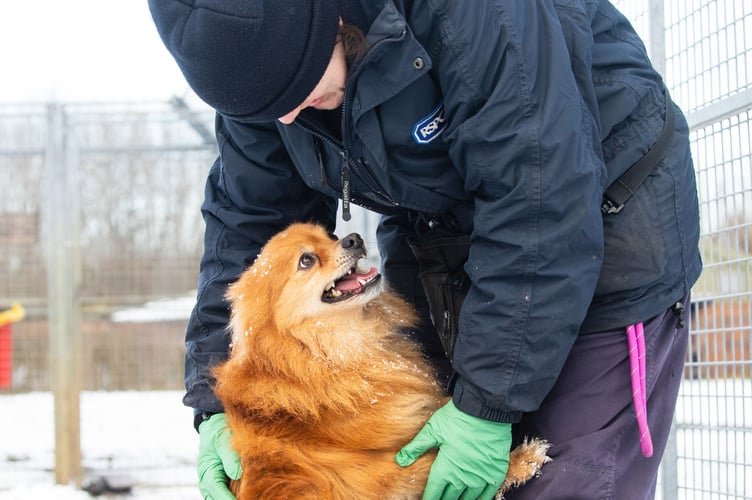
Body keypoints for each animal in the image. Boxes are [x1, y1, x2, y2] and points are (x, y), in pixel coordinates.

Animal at [214, 224, 548, 500]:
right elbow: (433, 464)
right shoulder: (368, 477)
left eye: (330, 236)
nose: (353, 238)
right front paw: (519, 460)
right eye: (306, 260)